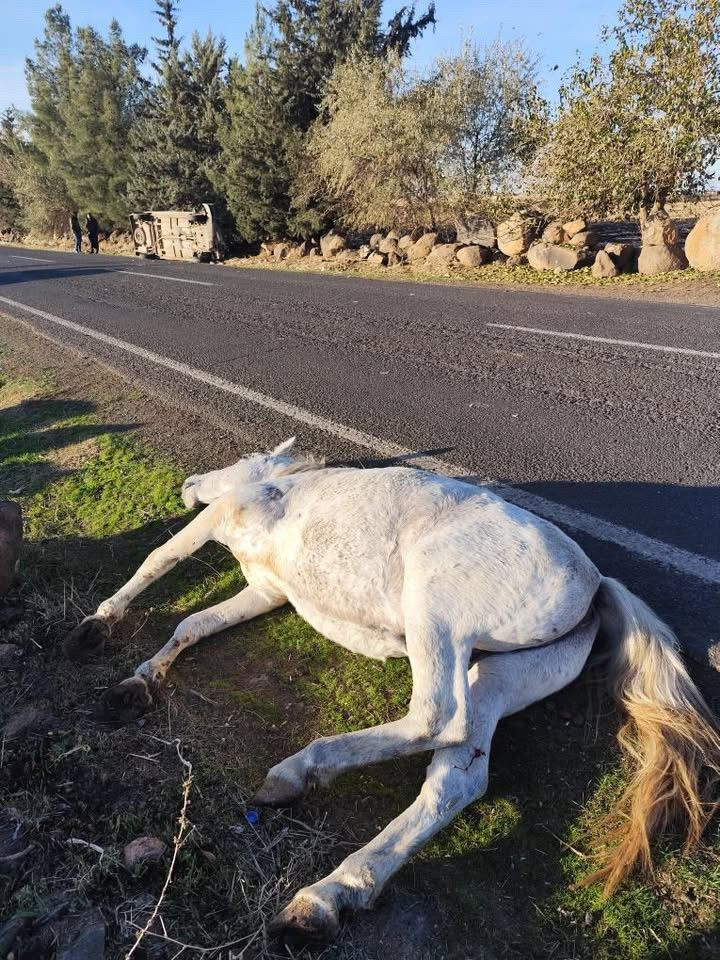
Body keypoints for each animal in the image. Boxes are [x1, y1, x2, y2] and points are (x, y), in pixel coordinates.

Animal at [63, 442, 720, 944]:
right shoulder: (267, 593)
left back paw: (297, 774)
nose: (189, 484)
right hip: (498, 676)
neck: (284, 490)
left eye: (244, 460)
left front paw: (96, 626)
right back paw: (325, 898)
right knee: (457, 776)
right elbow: (193, 625)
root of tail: (595, 584)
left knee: (437, 716)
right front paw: (139, 682)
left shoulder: (219, 519)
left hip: (435, 612)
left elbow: (159, 558)